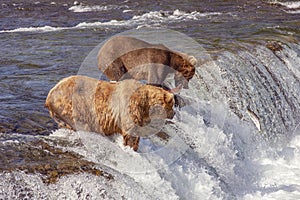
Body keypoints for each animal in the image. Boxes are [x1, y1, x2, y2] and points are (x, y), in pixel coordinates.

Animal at [44, 76, 176, 151]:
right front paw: (131, 147)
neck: (145, 105)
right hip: (72, 105)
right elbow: (130, 133)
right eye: (172, 105)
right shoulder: (129, 109)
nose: (174, 113)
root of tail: (49, 95)